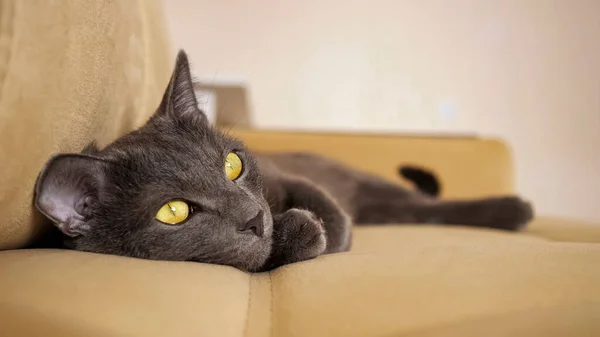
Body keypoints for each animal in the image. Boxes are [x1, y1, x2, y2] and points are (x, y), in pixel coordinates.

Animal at [31, 49, 536, 270]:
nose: (255, 217)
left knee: (429, 205)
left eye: (232, 165)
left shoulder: (287, 176)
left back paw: (514, 210)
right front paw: (298, 233)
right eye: (173, 211)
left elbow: (329, 212)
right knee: (420, 213)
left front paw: (316, 230)